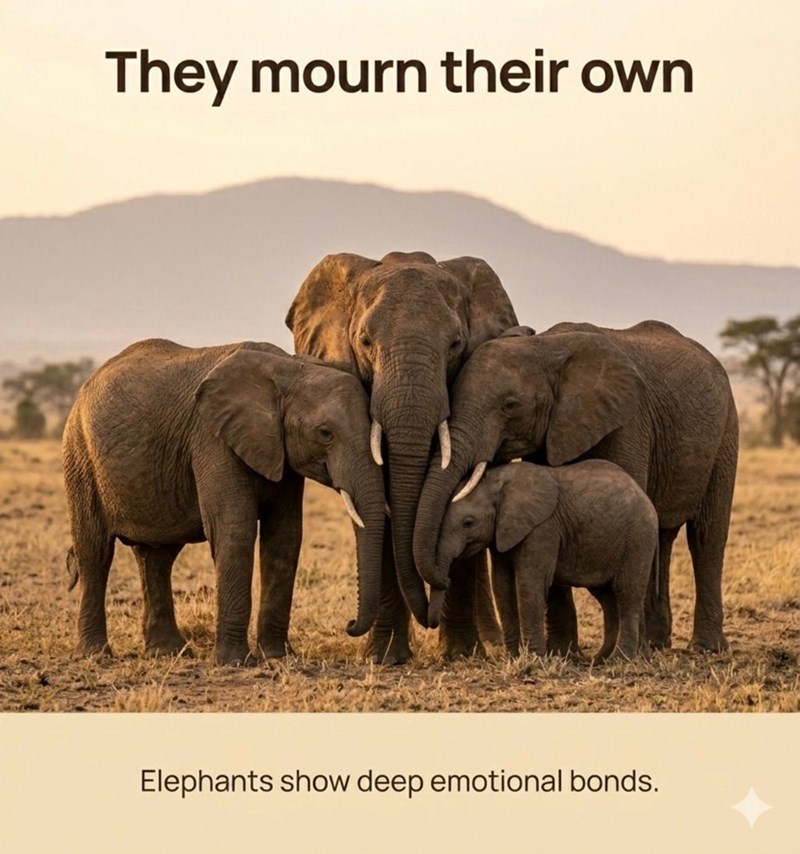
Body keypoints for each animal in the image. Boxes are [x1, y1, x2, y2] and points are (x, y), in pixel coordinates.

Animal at [62, 338, 385, 665]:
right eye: (325, 433)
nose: (349, 625)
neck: (289, 368)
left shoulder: (279, 454)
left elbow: (284, 537)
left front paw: (277, 657)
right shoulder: (212, 438)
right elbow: (234, 530)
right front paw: (235, 662)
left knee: (157, 557)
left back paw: (169, 652)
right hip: (80, 454)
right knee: (96, 552)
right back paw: (97, 654)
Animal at [286, 251, 521, 662]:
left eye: (456, 344)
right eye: (364, 341)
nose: (348, 625)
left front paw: (460, 654)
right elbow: (378, 502)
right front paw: (385, 658)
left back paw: (487, 643)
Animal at [430, 461, 658, 662]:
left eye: (468, 523)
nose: (445, 579)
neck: (497, 484)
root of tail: (643, 494)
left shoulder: (542, 529)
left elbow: (529, 584)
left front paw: (535, 659)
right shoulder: (503, 533)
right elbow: (502, 585)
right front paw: (512, 659)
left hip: (638, 539)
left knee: (627, 594)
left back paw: (619, 659)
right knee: (608, 598)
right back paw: (601, 659)